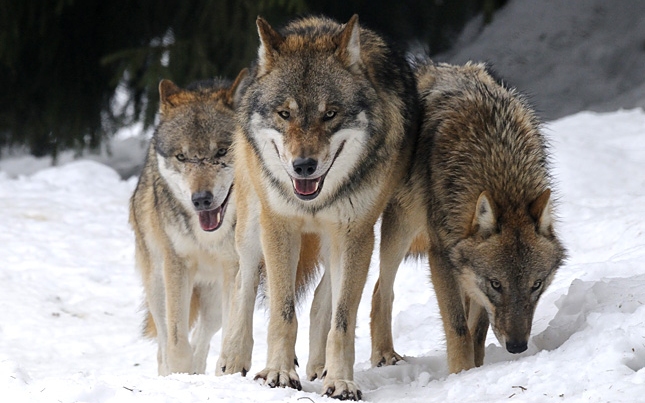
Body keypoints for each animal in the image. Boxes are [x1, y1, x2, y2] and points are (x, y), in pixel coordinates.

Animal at [128, 68, 247, 376]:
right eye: (181, 157)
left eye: (221, 152)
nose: (201, 200)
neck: (207, 237)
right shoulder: (177, 264)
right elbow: (176, 342)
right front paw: (178, 376)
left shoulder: (235, 268)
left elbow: (229, 335)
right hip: (157, 284)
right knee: (164, 342)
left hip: (214, 298)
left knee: (203, 340)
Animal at [219, 15, 420, 400]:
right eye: (284, 113)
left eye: (330, 114)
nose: (304, 166)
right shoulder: (279, 227)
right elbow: (281, 314)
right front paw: (278, 373)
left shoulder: (355, 234)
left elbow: (341, 320)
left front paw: (340, 381)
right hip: (252, 227)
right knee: (242, 283)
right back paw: (233, 359)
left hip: (339, 240)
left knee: (322, 299)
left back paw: (319, 366)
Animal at [370, 60, 568, 376]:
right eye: (497, 284)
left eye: (536, 285)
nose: (517, 347)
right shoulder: (442, 257)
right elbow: (458, 329)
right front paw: (461, 374)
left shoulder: (471, 277)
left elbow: (477, 331)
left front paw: (475, 370)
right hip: (401, 226)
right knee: (380, 291)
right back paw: (384, 355)